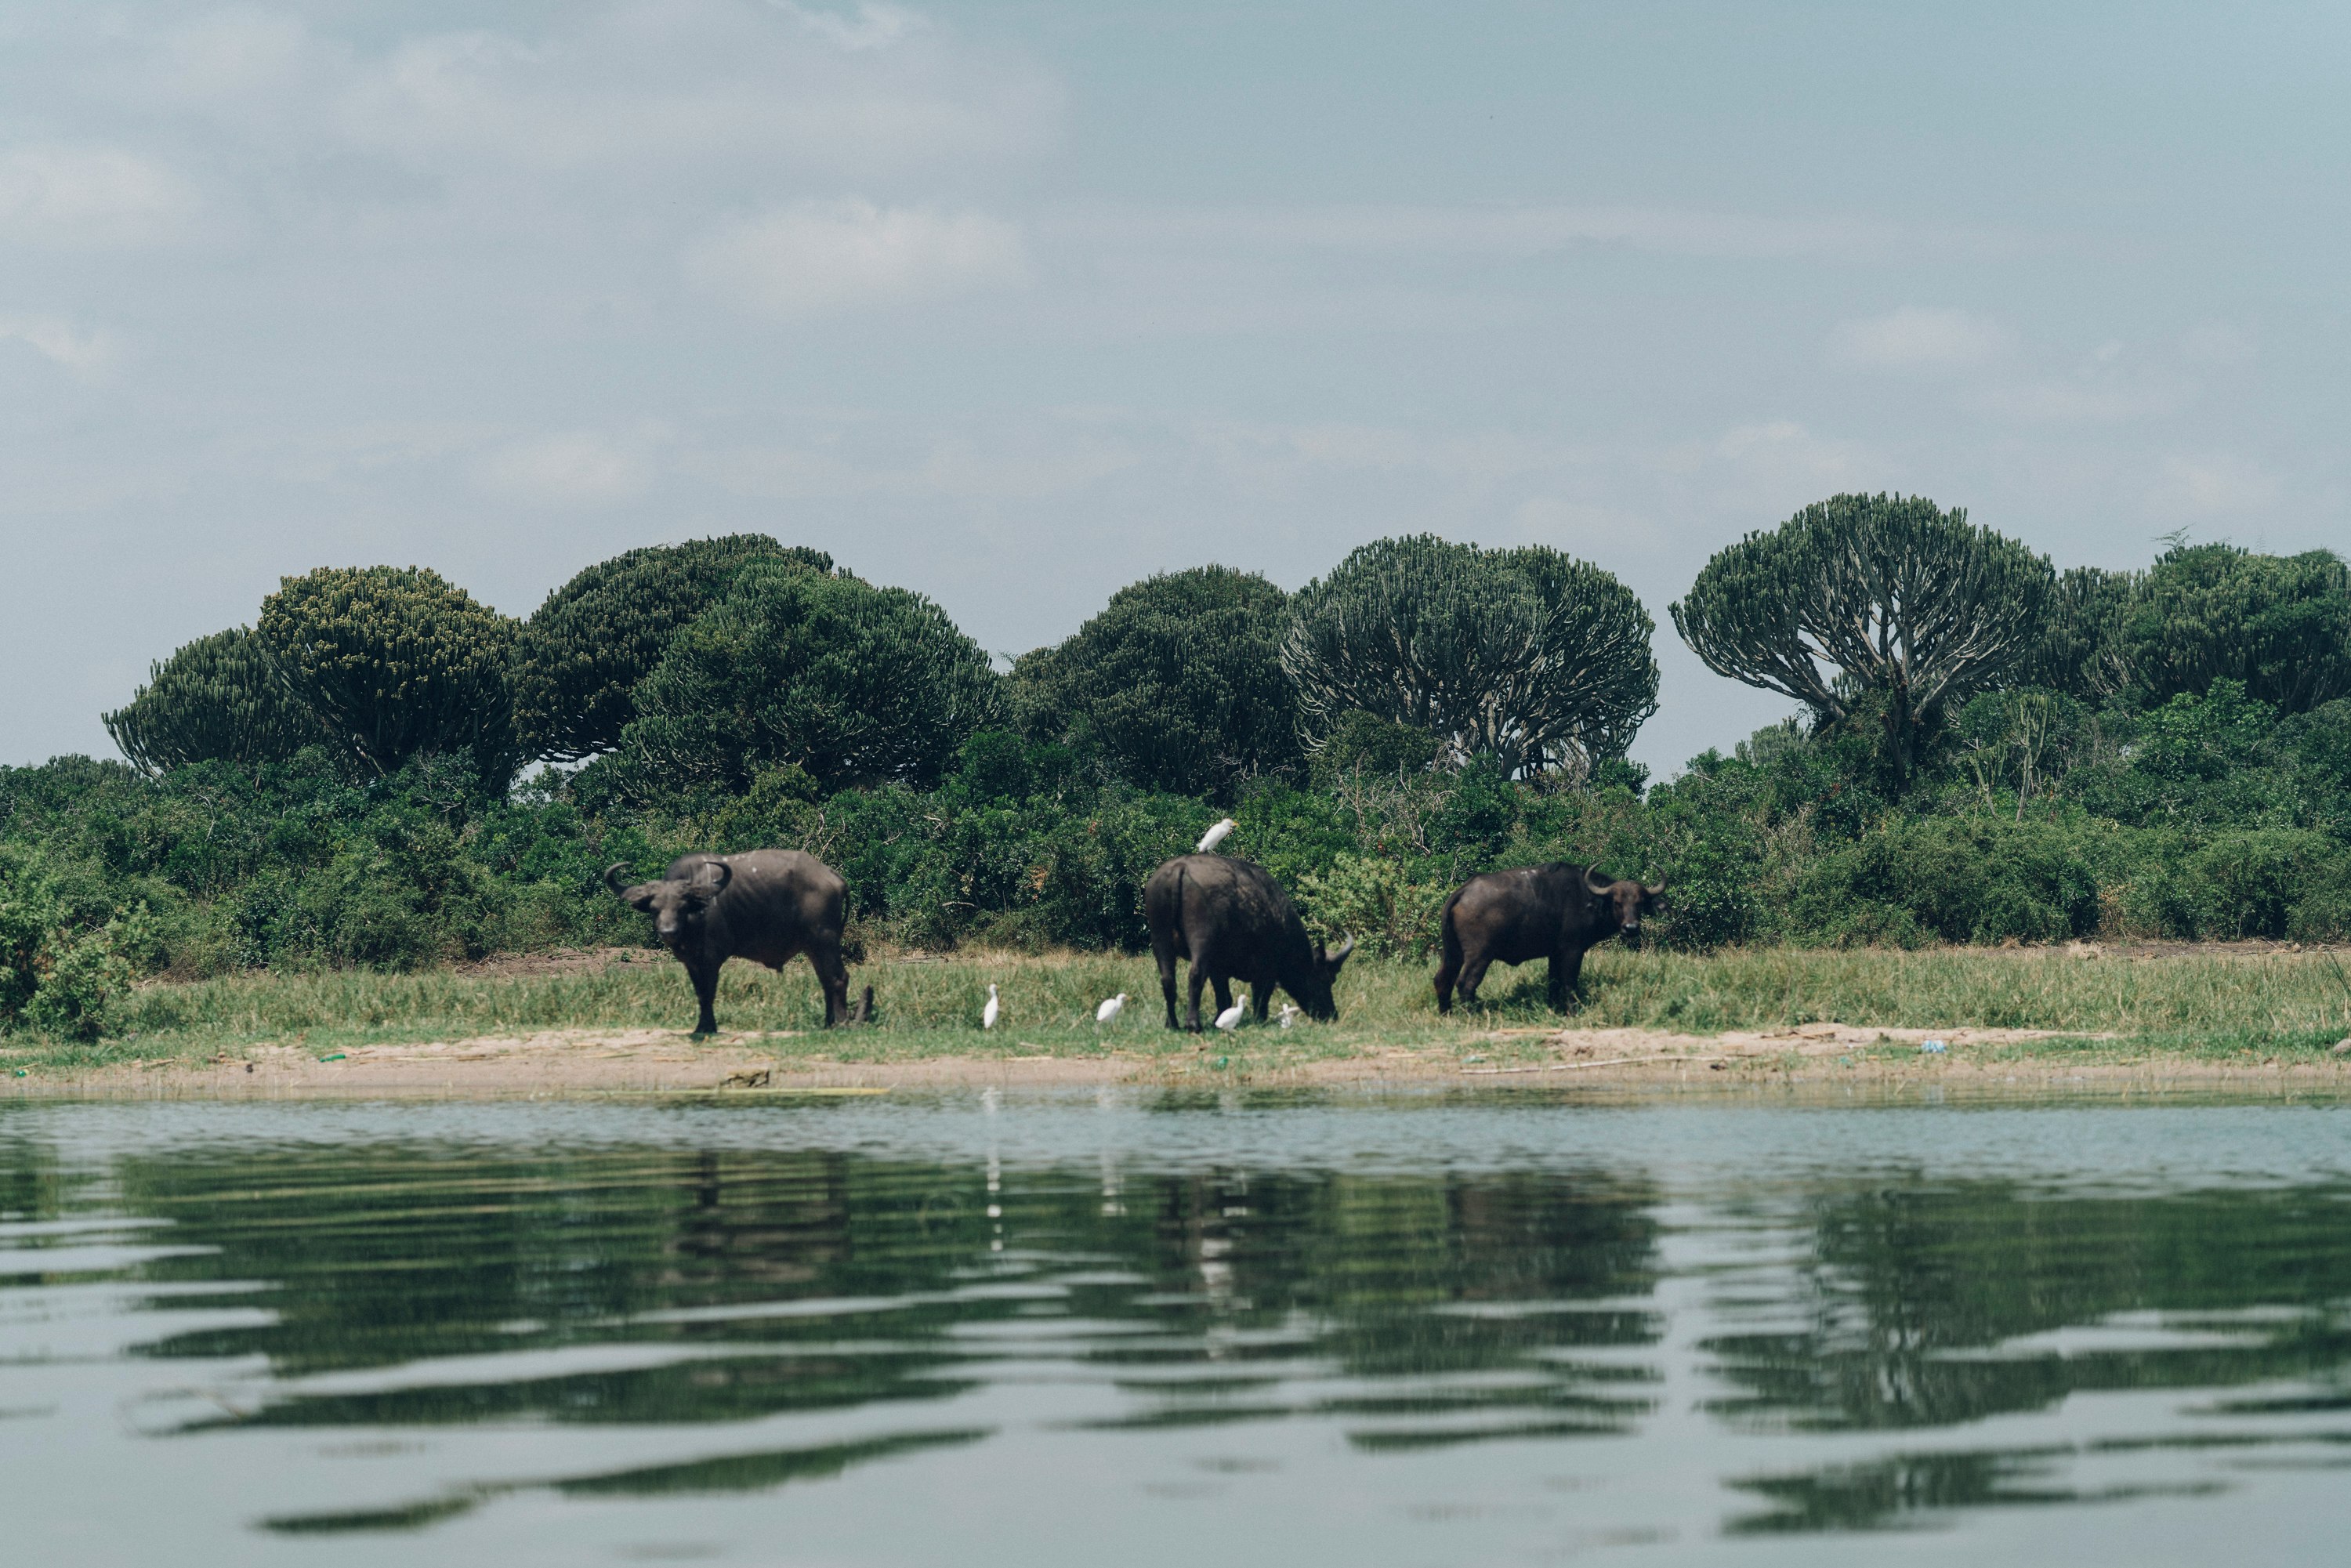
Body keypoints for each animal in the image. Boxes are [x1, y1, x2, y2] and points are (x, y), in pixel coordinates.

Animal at [602, 851, 870, 1034]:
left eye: (682, 906)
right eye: (655, 908)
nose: (668, 931)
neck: (696, 917)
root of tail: (833, 877)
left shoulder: (711, 958)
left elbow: (708, 991)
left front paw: (708, 1027)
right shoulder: (691, 961)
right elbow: (699, 992)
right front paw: (702, 1027)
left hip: (825, 940)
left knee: (837, 977)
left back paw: (842, 1023)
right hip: (813, 947)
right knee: (825, 979)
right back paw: (828, 1023)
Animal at [1143, 860, 1364, 1030]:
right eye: (1327, 979)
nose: (1332, 1015)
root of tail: (1180, 867)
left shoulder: (1218, 969)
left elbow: (1224, 998)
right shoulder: (1265, 972)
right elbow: (1260, 998)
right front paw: (1260, 1020)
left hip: (1160, 939)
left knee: (1168, 980)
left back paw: (1172, 1024)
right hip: (1200, 940)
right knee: (1195, 975)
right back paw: (1193, 1024)